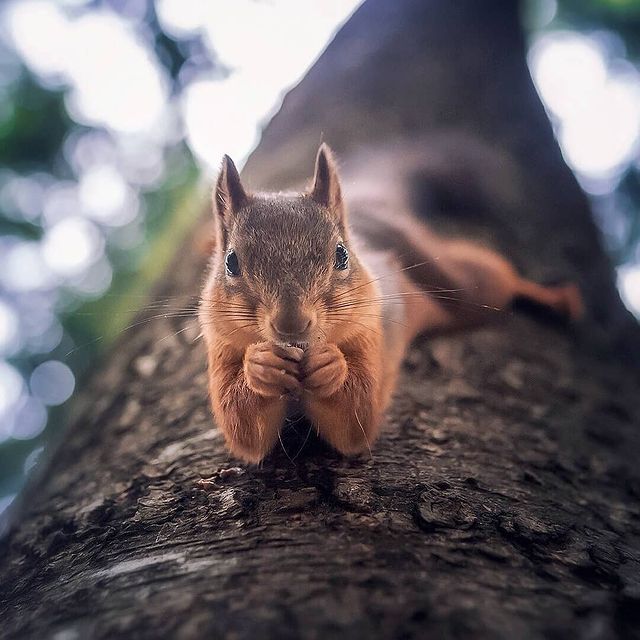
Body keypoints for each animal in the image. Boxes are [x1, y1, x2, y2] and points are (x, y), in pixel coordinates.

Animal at [199, 143, 583, 463]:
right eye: (231, 262)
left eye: (342, 255)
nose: (291, 324)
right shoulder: (221, 345)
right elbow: (243, 428)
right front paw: (260, 365)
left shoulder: (371, 332)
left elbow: (357, 417)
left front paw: (331, 364)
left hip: (466, 284)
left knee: (500, 278)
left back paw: (556, 297)